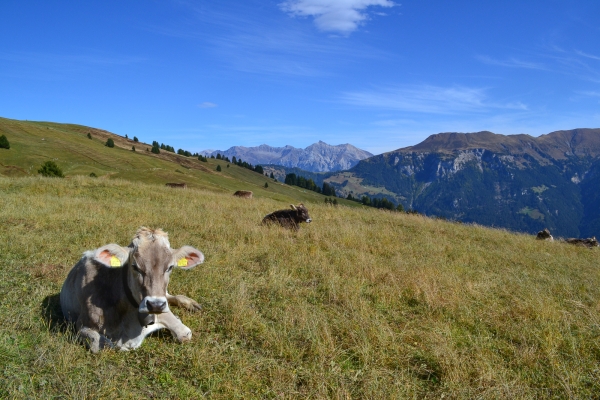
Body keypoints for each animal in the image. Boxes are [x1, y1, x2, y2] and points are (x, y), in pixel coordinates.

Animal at [59, 228, 204, 354]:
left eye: (170, 267)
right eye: (135, 266)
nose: (156, 305)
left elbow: (185, 334)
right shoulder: (82, 324)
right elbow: (102, 345)